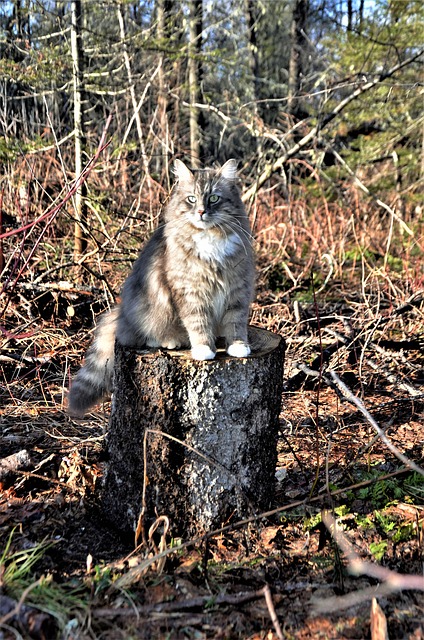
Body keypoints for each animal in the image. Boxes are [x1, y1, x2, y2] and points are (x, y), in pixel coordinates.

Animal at [68, 159, 255, 418]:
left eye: (214, 198)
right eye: (191, 199)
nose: (201, 211)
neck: (209, 237)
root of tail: (121, 315)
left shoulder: (237, 289)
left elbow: (236, 324)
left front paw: (238, 346)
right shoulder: (191, 291)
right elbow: (198, 323)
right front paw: (204, 349)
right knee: (143, 337)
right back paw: (171, 341)